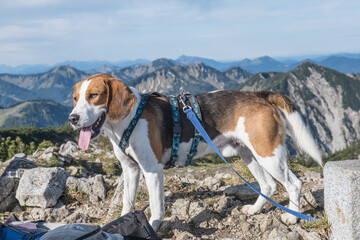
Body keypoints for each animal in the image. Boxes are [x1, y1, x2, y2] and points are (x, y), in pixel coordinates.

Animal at [69, 73, 322, 231]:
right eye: (75, 98)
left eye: (94, 95)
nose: (72, 118)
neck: (127, 119)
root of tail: (260, 94)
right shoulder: (131, 169)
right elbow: (127, 202)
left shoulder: (152, 170)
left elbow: (156, 206)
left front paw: (153, 227)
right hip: (249, 154)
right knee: (268, 186)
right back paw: (254, 210)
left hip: (268, 154)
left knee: (294, 184)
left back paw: (292, 217)